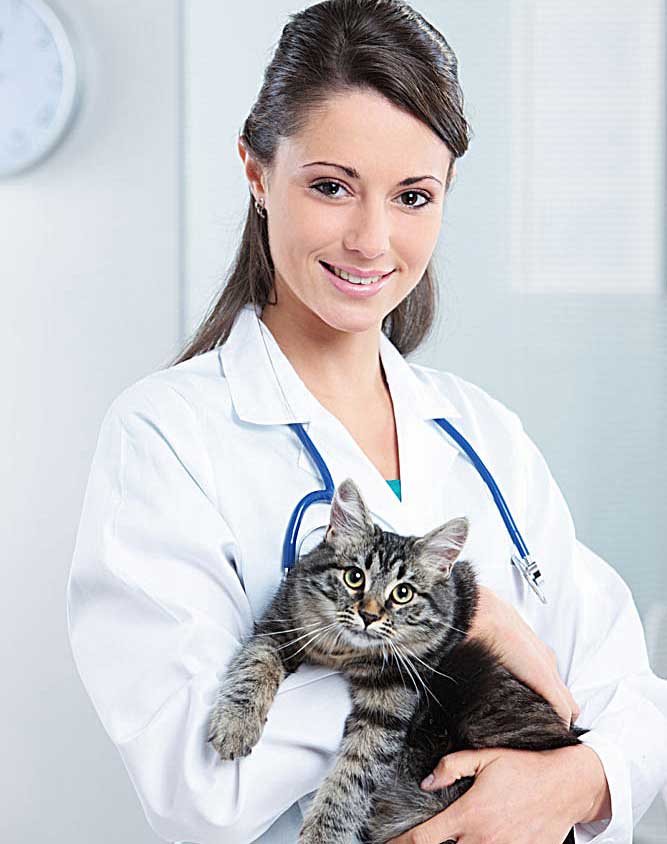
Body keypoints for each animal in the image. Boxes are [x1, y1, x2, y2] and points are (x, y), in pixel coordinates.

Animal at [207, 477, 586, 844]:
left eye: (402, 593)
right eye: (355, 577)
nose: (369, 615)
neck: (343, 653)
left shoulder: (389, 705)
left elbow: (351, 780)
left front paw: (322, 835)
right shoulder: (276, 630)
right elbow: (253, 667)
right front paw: (235, 725)